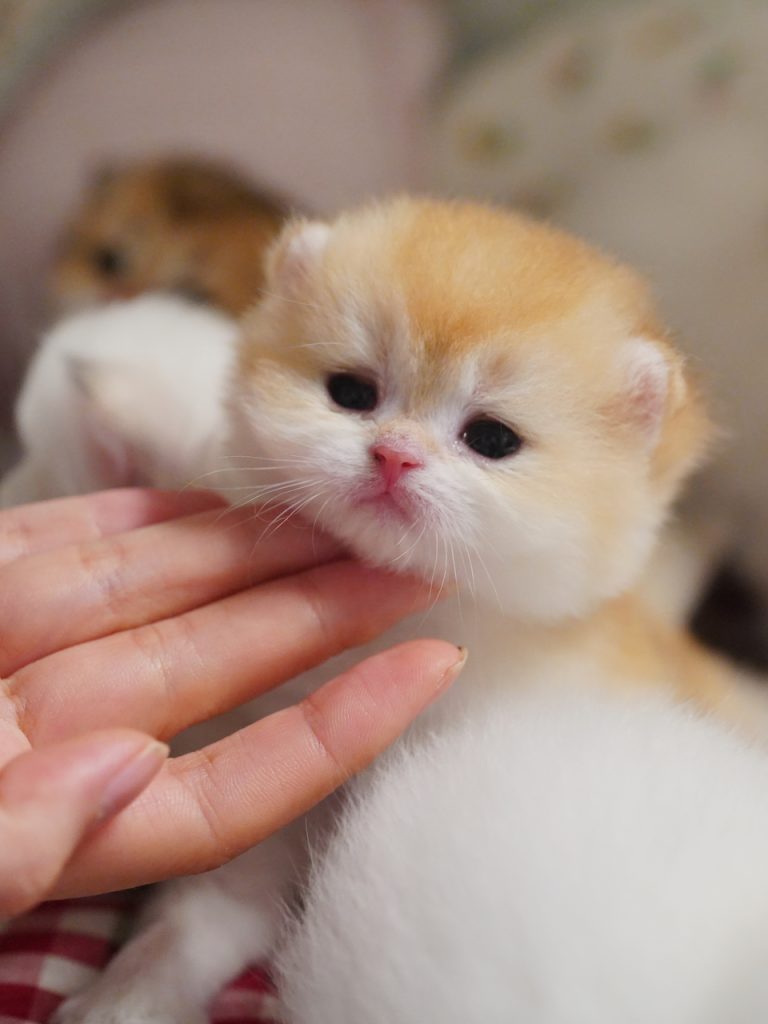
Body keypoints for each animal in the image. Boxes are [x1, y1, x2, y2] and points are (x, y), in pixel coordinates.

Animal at [52, 199, 765, 1024]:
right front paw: (126, 993)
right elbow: (202, 916)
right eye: (351, 392)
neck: (410, 632)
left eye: (491, 438)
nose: (394, 453)